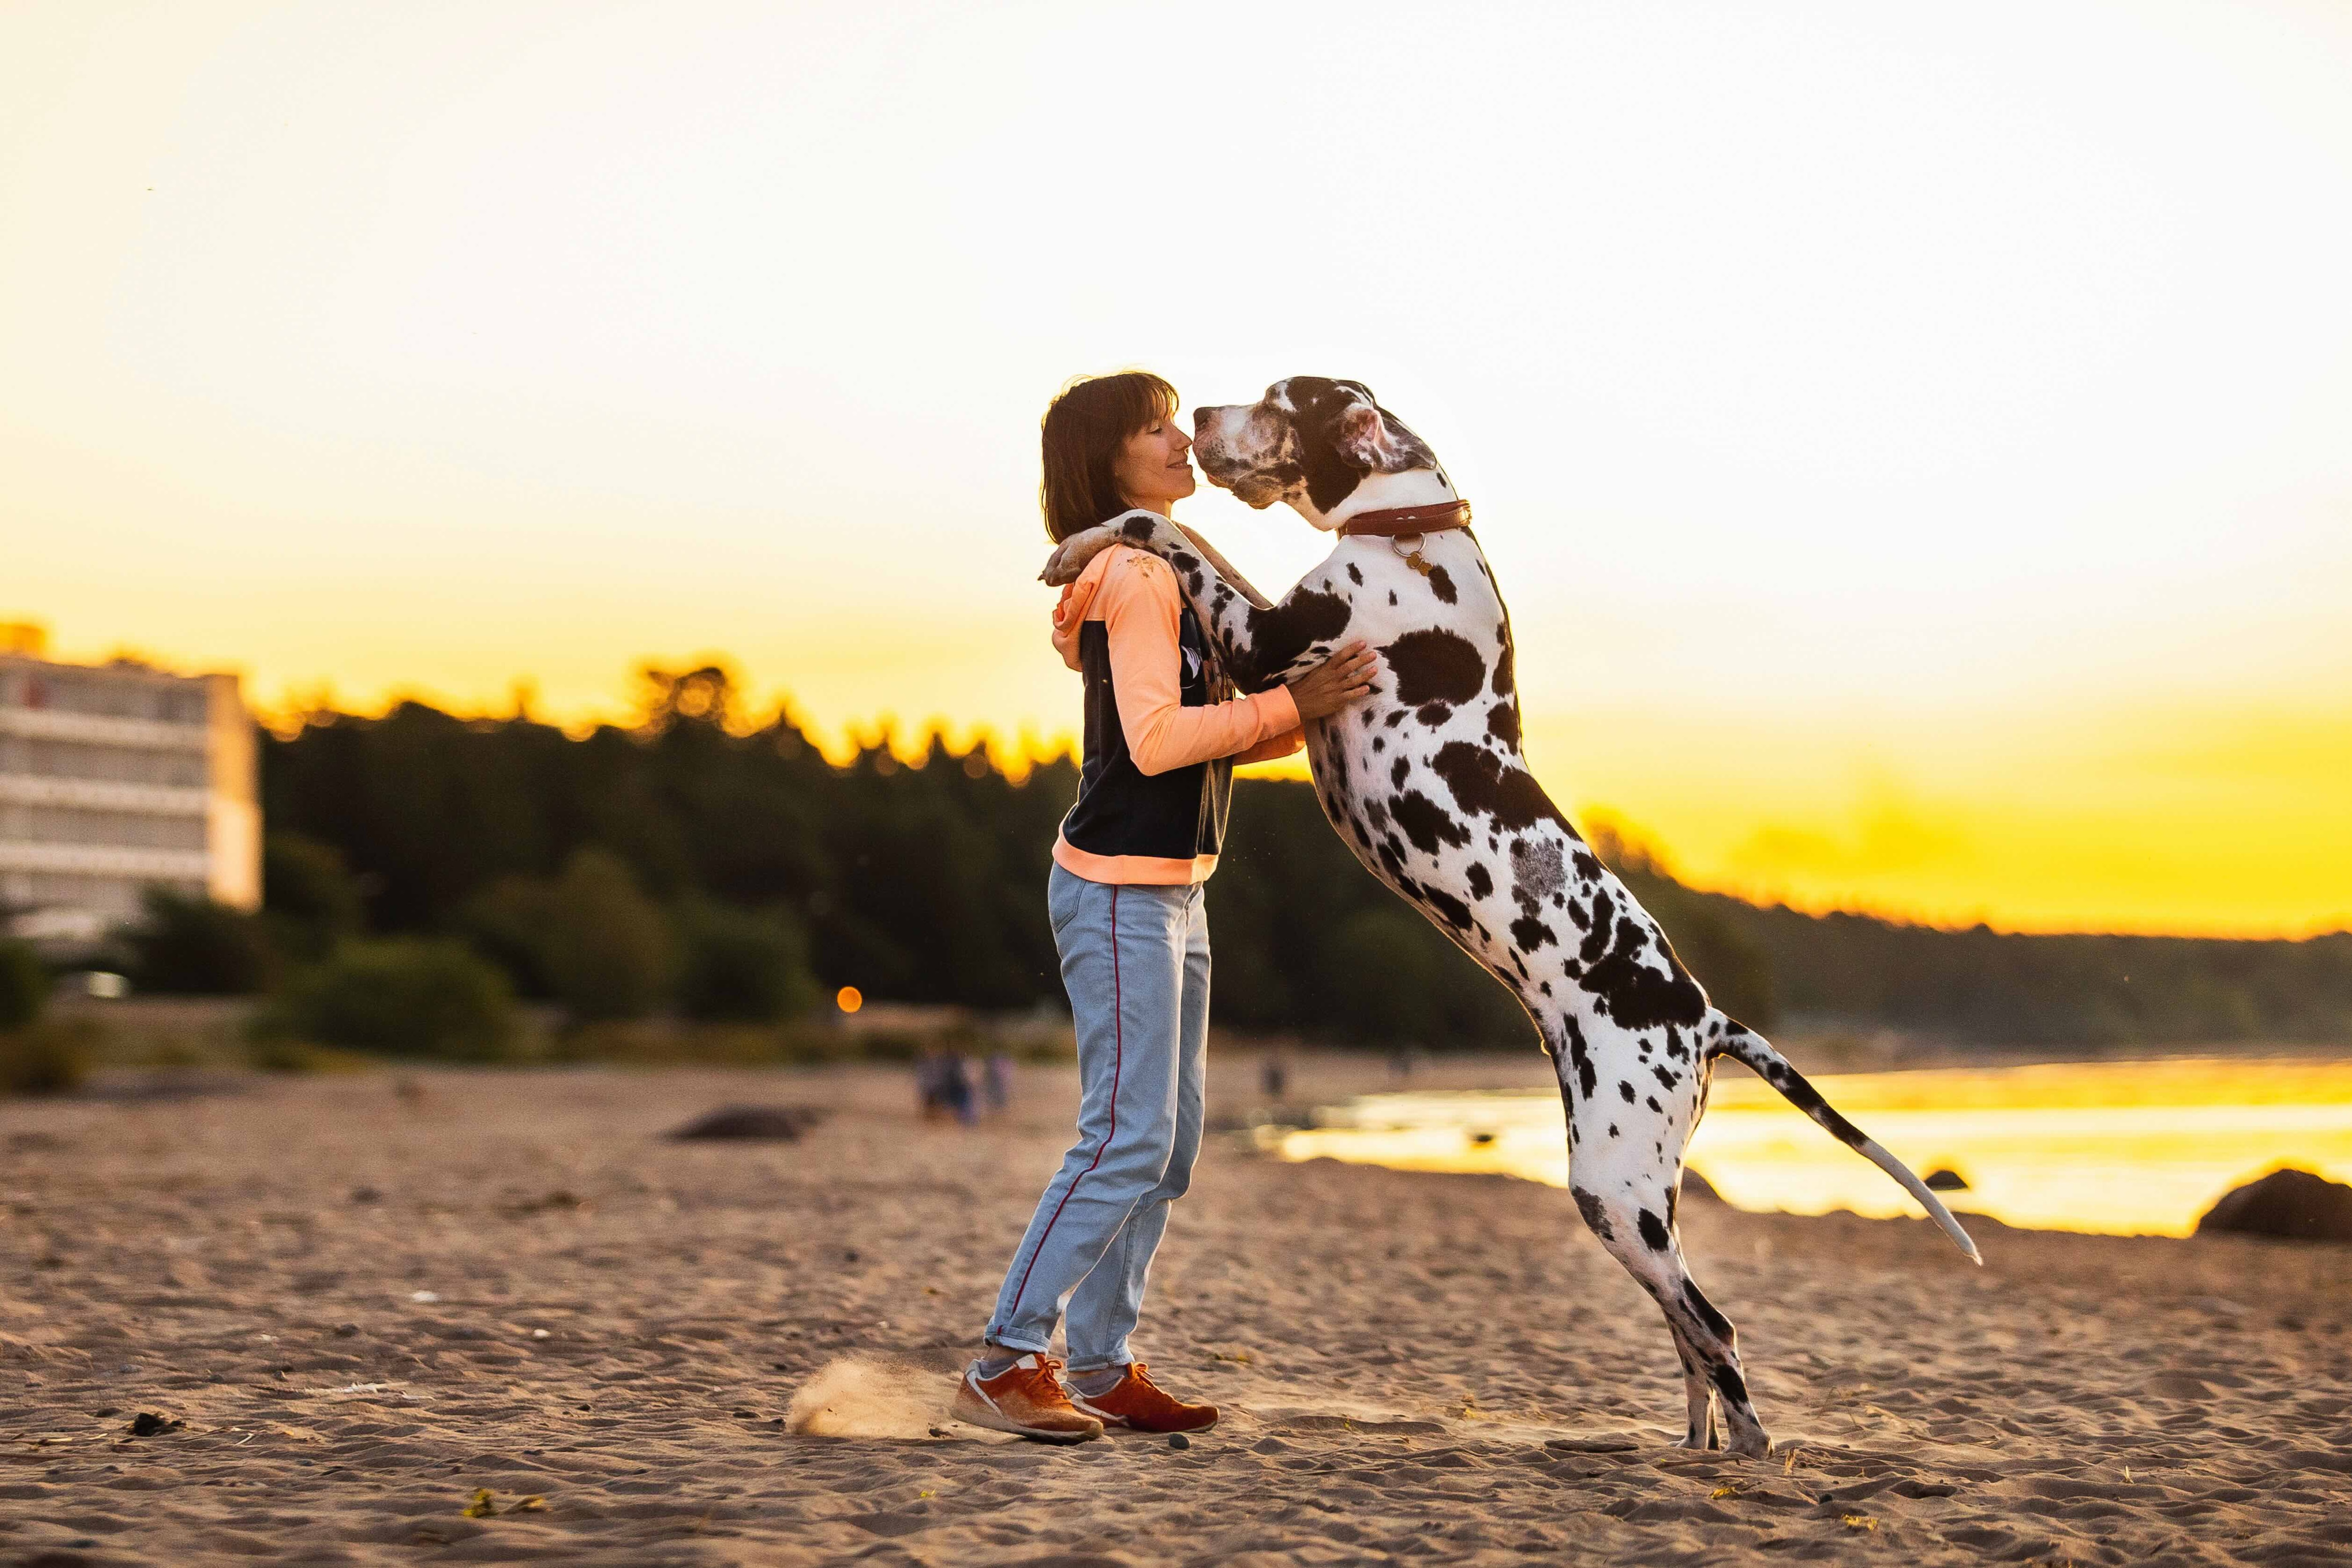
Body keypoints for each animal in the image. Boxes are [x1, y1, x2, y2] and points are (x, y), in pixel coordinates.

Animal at [1040, 373, 1976, 1457]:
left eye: (1282, 400)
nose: (1194, 421)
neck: (1412, 530)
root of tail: (1704, 1013)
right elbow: (1193, 536)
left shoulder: (1264, 641)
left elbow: (1162, 527)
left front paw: (1081, 544)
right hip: (1639, 1190)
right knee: (1687, 1330)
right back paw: (1691, 1447)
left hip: (1615, 1188)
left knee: (1714, 1324)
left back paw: (1745, 1449)